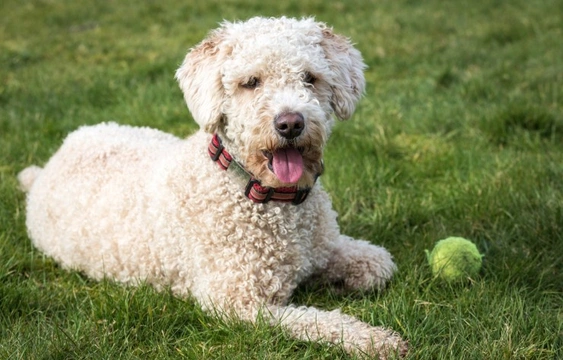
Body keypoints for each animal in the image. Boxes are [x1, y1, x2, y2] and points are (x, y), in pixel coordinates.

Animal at [17, 16, 408, 358]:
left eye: (310, 78)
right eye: (251, 82)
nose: (290, 123)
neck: (266, 197)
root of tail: (49, 164)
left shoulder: (327, 248)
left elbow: (379, 264)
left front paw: (339, 283)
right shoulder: (238, 303)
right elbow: (316, 321)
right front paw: (374, 340)